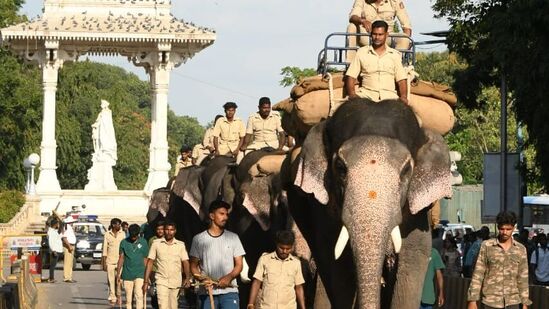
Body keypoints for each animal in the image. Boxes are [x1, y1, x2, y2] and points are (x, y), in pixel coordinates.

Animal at [284, 99, 452, 308]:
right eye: (340, 168)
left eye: (406, 170)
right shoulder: (322, 209)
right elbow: (337, 264)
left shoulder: (417, 215)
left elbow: (413, 259)